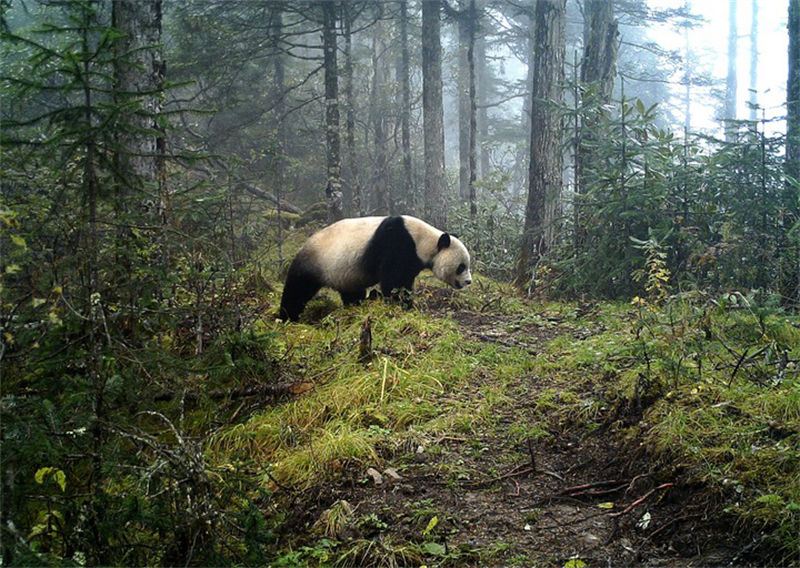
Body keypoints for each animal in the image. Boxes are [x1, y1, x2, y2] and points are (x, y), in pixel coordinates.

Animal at [278, 215, 472, 321]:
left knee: (351, 292)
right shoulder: (396, 244)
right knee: (297, 289)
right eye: (461, 267)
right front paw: (401, 305)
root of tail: (303, 245)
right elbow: (394, 280)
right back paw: (287, 317)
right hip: (315, 262)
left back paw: (356, 305)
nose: (469, 281)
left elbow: (405, 281)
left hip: (345, 272)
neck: (424, 240)